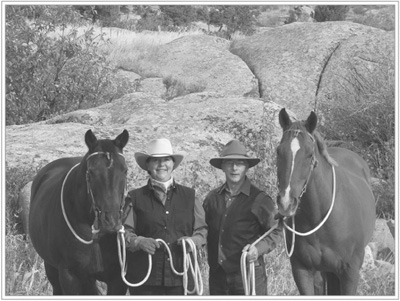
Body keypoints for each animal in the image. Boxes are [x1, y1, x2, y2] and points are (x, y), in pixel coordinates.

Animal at [29, 129, 130, 292]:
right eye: (91, 172)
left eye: (125, 170)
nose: (111, 221)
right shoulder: (70, 277)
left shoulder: (117, 279)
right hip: (51, 268)